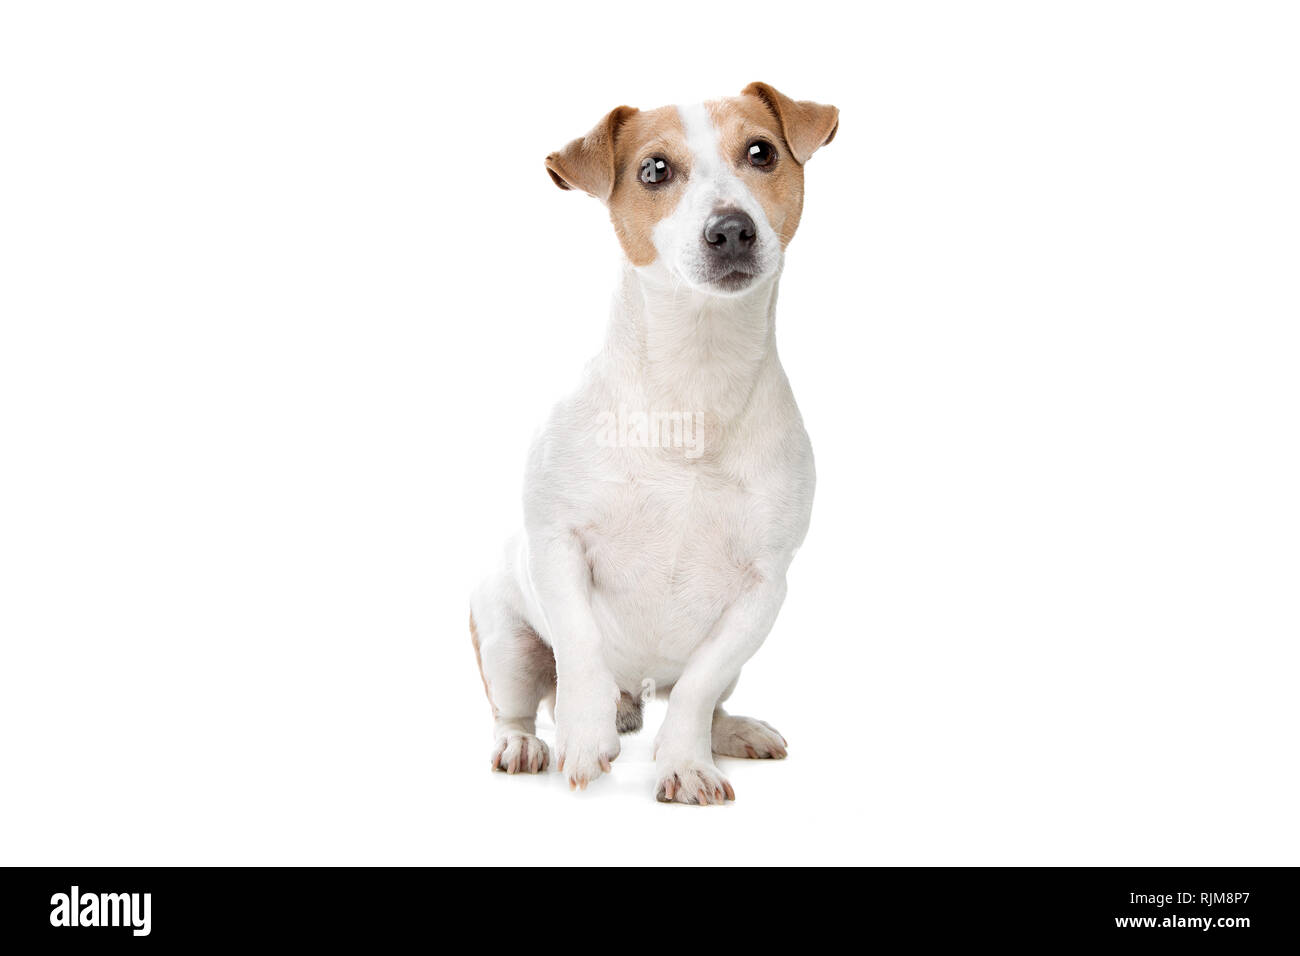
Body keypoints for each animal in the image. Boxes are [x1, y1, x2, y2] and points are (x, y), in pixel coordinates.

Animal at [473, 82, 837, 806]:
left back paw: (730, 732)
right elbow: (580, 647)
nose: (731, 229)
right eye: (655, 170)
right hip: (503, 636)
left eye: (762, 152)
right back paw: (530, 740)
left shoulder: (763, 586)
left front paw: (685, 763)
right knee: (521, 700)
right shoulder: (557, 542)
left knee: (706, 700)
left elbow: (698, 687)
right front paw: (585, 739)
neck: (694, 379)